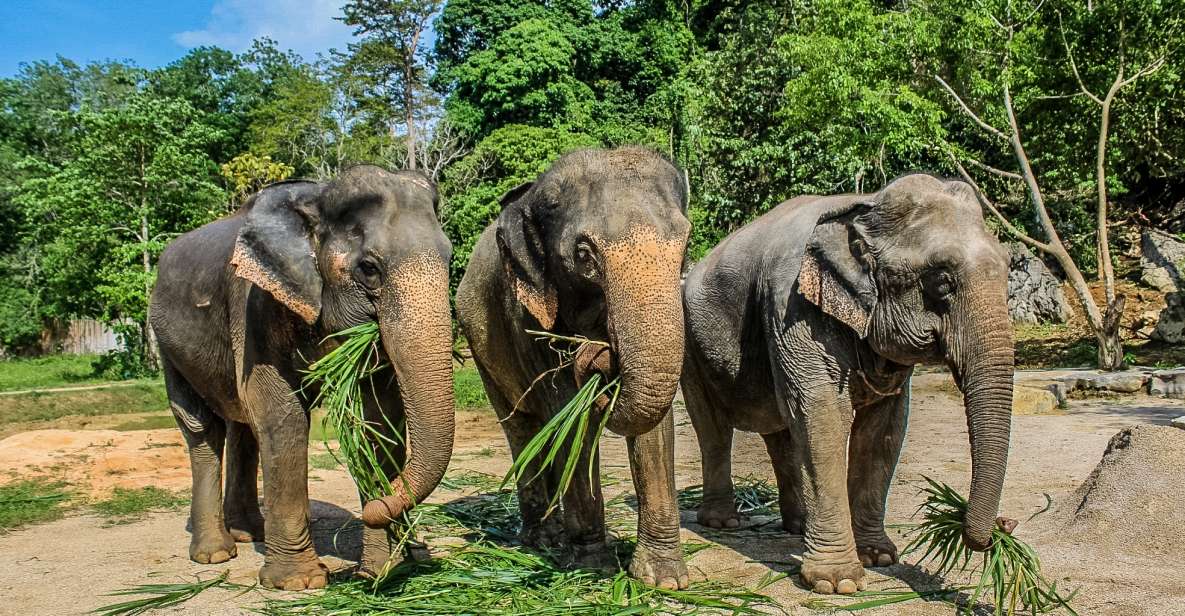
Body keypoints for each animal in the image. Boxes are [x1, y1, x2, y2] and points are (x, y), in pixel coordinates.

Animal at [149, 165, 455, 590]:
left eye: (450, 258)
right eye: (369, 268)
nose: (377, 507)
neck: (317, 198)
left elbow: (379, 419)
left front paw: (384, 570)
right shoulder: (254, 301)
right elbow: (281, 413)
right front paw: (299, 583)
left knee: (242, 426)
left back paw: (249, 533)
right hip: (166, 343)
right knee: (202, 427)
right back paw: (215, 554)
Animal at [455, 146, 691, 589]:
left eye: (685, 247)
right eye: (583, 255)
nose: (600, 353)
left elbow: (654, 428)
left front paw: (663, 579)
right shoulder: (529, 318)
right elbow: (570, 415)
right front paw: (592, 568)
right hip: (480, 349)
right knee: (523, 427)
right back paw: (544, 540)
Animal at [680, 174, 1013, 594]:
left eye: (1008, 269)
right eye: (941, 282)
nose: (1004, 526)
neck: (865, 205)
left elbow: (884, 429)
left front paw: (879, 557)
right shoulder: (792, 305)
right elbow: (823, 414)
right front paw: (837, 583)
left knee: (782, 430)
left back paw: (798, 526)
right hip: (689, 345)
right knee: (714, 429)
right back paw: (724, 522)